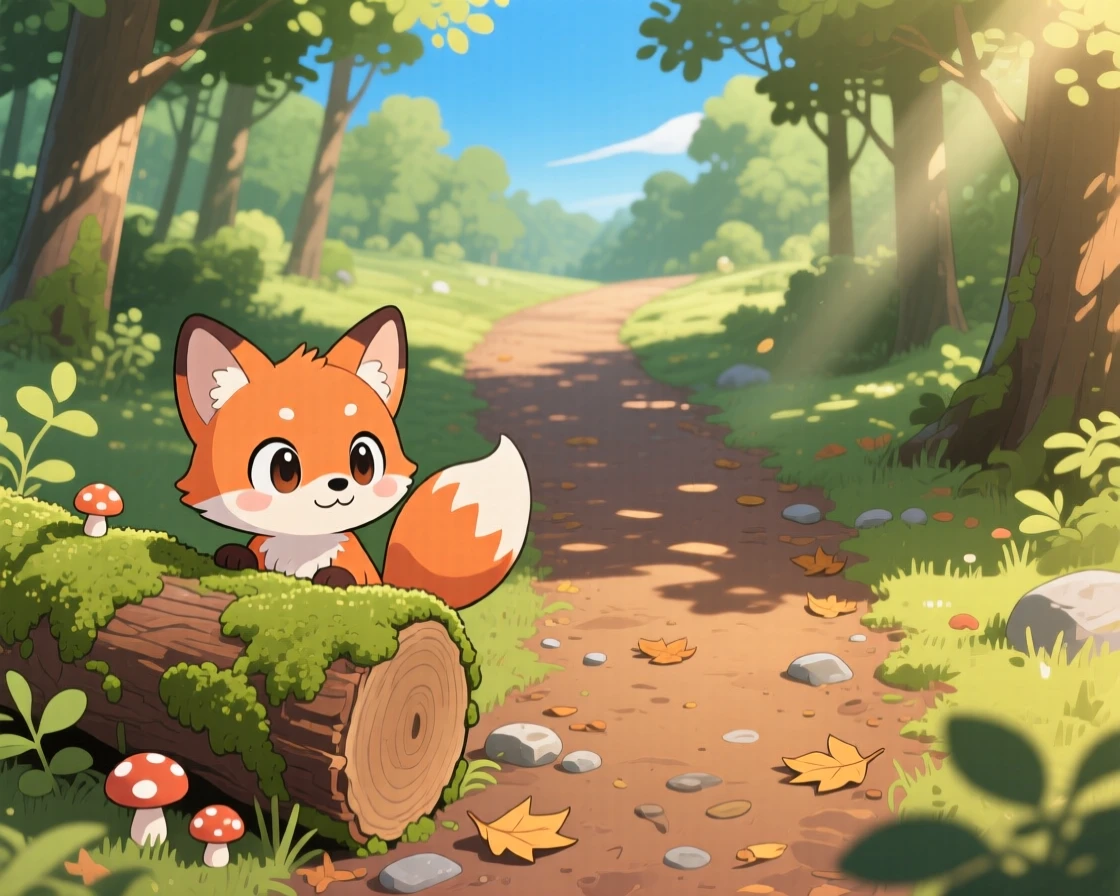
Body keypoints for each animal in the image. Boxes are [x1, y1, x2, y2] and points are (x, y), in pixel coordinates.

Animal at [172, 306, 532, 610]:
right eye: (283, 468)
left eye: (363, 460)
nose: (338, 484)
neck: (301, 546)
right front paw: (234, 555)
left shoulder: (359, 570)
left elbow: (348, 579)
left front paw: (334, 579)